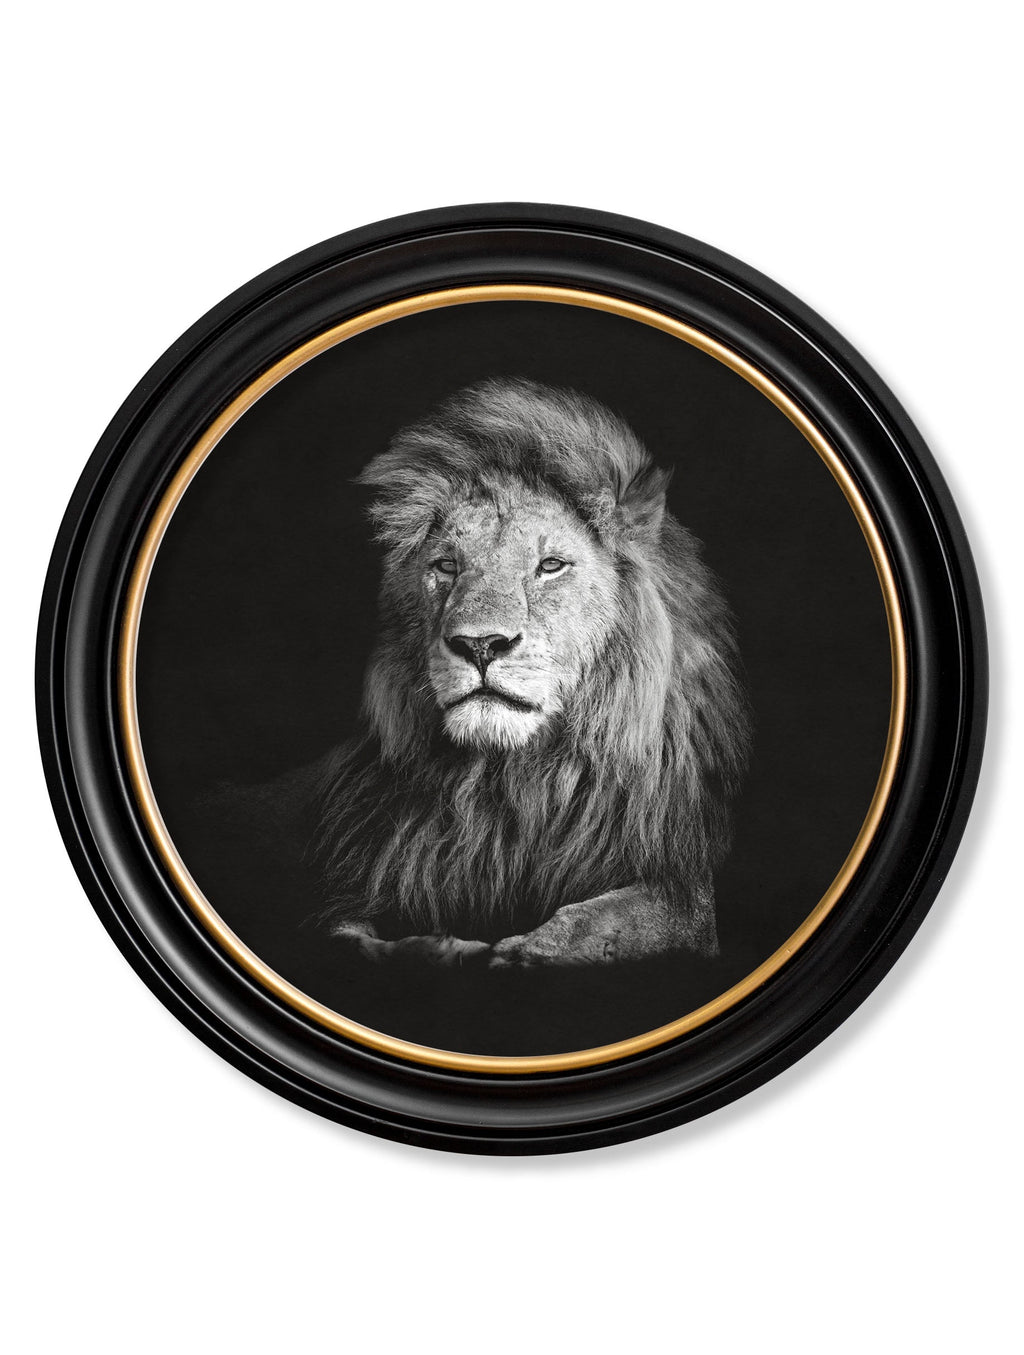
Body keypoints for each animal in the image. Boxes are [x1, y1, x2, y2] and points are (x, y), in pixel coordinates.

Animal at [302, 378, 749, 968]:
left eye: (550, 566)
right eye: (446, 566)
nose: (480, 644)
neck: (514, 783)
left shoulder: (683, 889)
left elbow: (607, 920)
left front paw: (522, 952)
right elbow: (346, 937)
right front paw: (440, 948)